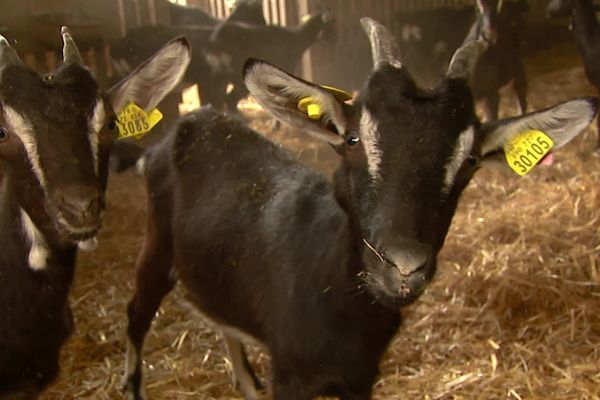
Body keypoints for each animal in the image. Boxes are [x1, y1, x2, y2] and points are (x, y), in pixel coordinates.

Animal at [119, 17, 596, 400]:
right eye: (352, 139)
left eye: (470, 160)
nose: (402, 267)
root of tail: (175, 133)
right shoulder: (290, 376)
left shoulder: (361, 379)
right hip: (156, 247)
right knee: (136, 314)